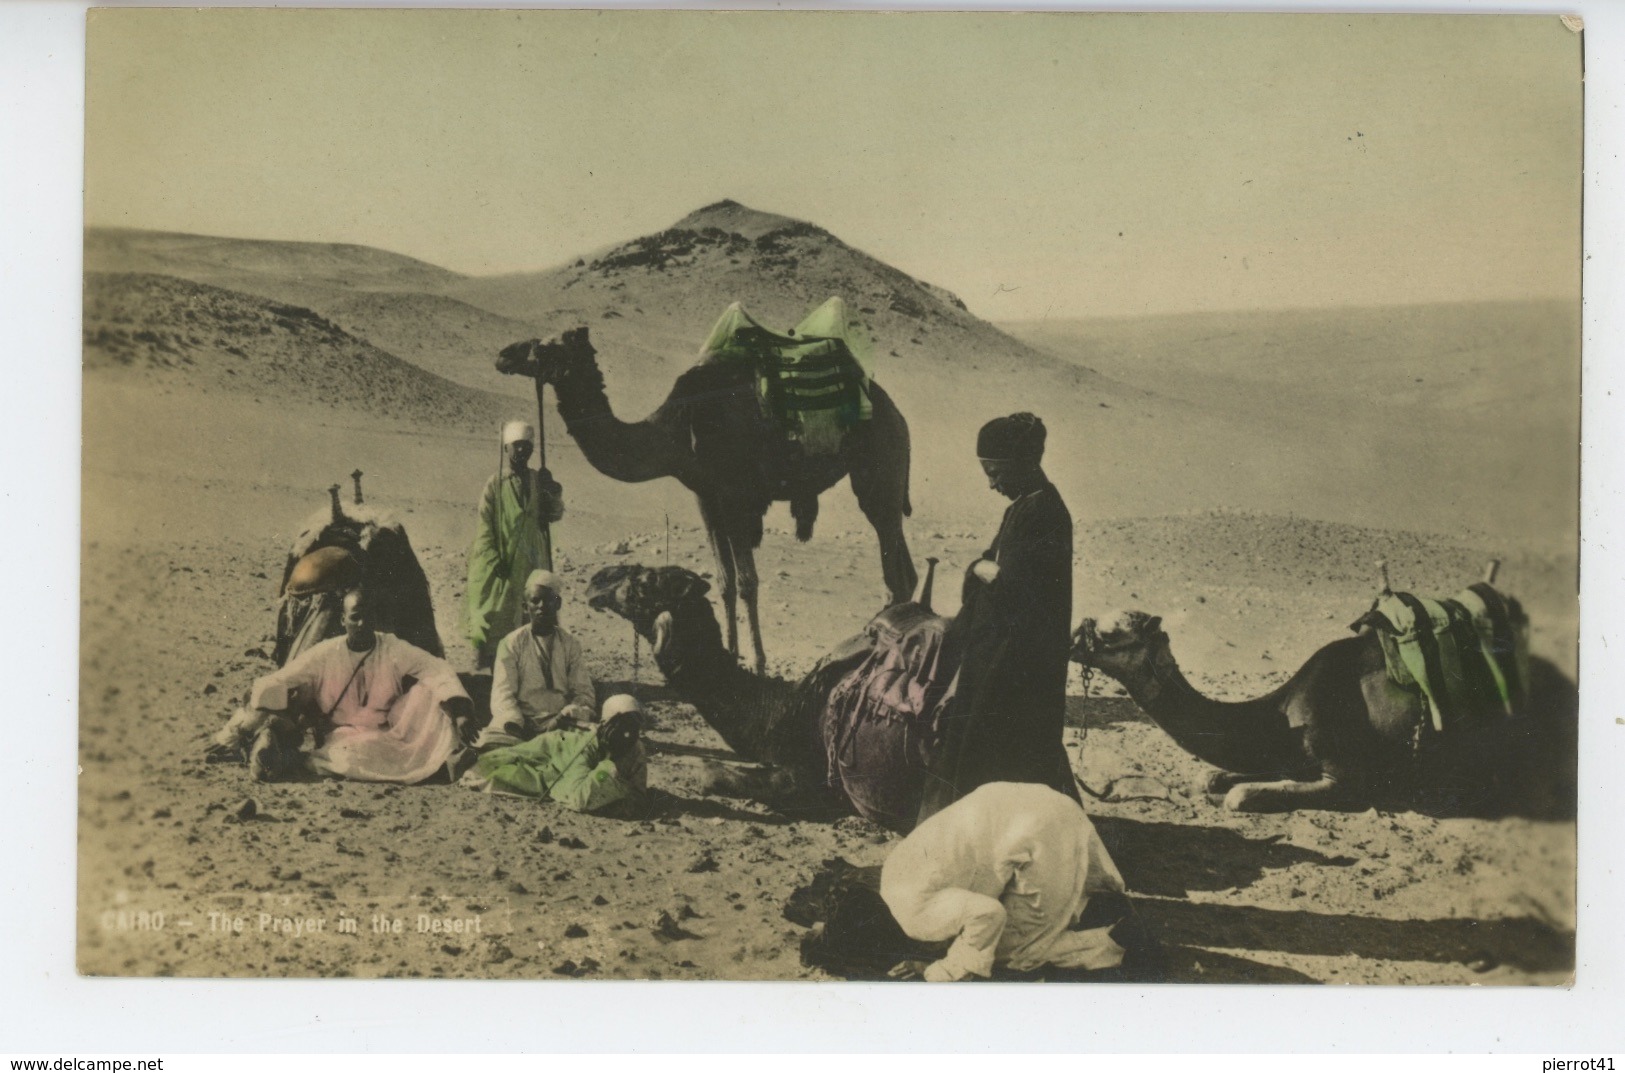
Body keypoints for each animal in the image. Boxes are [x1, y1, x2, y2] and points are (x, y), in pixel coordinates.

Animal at [497, 328, 916, 679]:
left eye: (546, 345)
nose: (504, 354)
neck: (677, 431)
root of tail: (896, 412)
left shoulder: (735, 495)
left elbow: (747, 582)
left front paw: (759, 664)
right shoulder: (706, 497)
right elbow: (725, 581)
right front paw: (730, 655)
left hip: (879, 469)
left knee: (892, 567)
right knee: (904, 572)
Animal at [1066, 608, 1573, 816]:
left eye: (1111, 633)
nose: (1071, 638)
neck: (1282, 714)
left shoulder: (1345, 775)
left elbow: (1239, 796)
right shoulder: (1288, 757)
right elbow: (1212, 777)